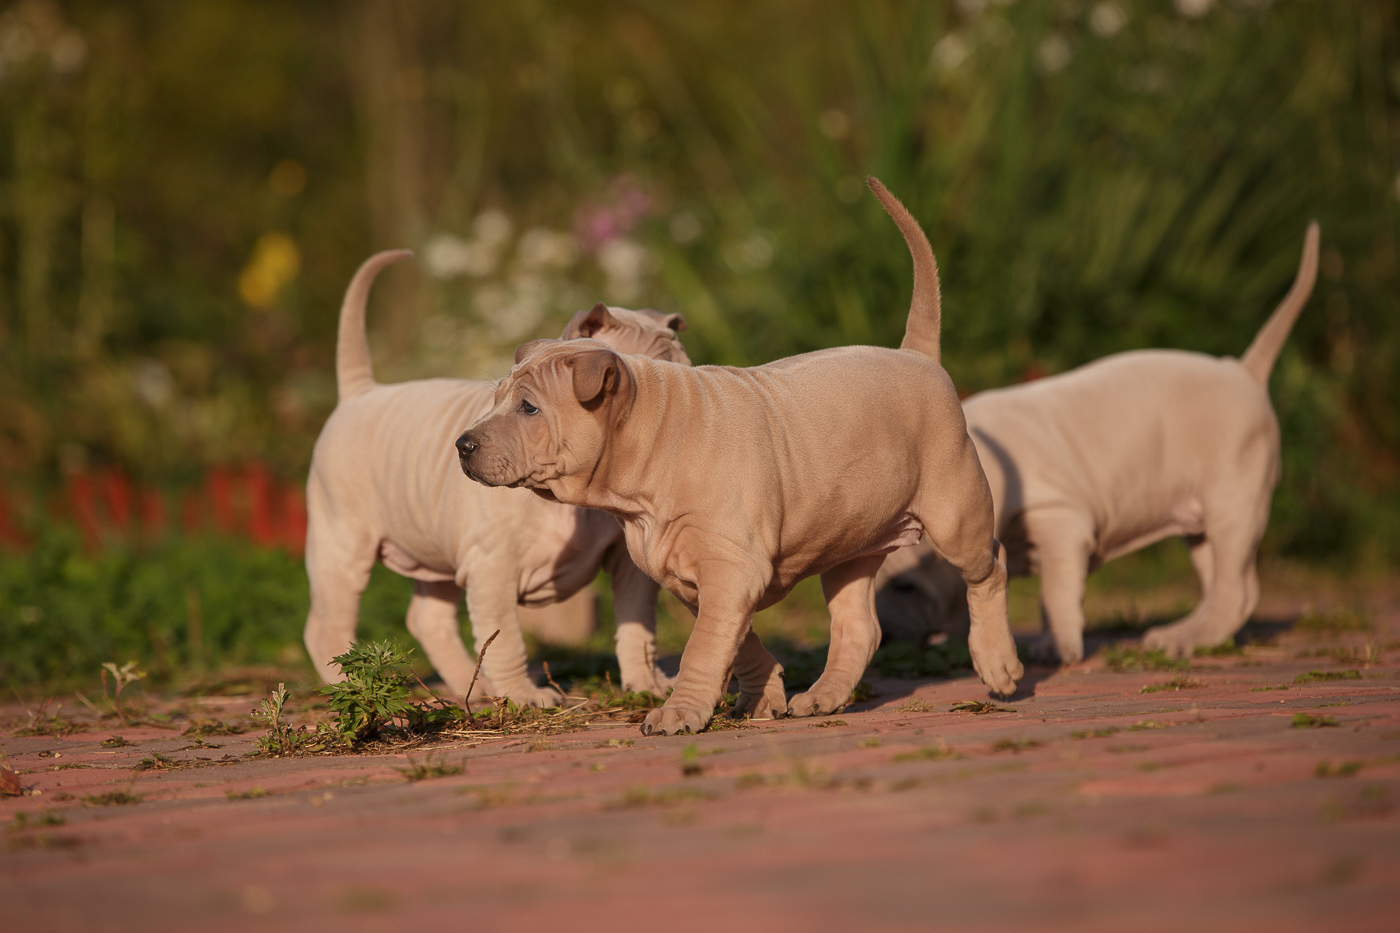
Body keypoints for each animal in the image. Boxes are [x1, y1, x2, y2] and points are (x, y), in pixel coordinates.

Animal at [303, 250, 686, 700]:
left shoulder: (631, 570)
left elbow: (637, 628)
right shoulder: (491, 569)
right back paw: (349, 688)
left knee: (427, 618)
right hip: (341, 544)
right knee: (326, 627)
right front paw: (524, 695)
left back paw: (474, 686)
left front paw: (647, 683)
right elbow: (504, 640)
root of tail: (360, 392)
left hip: (438, 547)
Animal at [464, 179, 1024, 734]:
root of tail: (916, 355)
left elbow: (703, 648)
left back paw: (997, 664)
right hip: (853, 541)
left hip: (955, 510)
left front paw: (679, 712)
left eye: (530, 408)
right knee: (859, 626)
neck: (651, 442)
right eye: (498, 398)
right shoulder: (693, 575)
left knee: (990, 568)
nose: (462, 444)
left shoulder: (731, 568)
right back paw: (823, 697)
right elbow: (732, 640)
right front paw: (764, 692)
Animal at [879, 221, 1316, 658]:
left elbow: (1056, 591)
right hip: (1203, 522)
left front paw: (1054, 648)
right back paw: (1190, 634)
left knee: (1232, 584)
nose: (883, 637)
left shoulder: (1062, 519)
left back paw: (1187, 640)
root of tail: (1244, 371)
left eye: (906, 587)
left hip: (1233, 497)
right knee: (1231, 583)